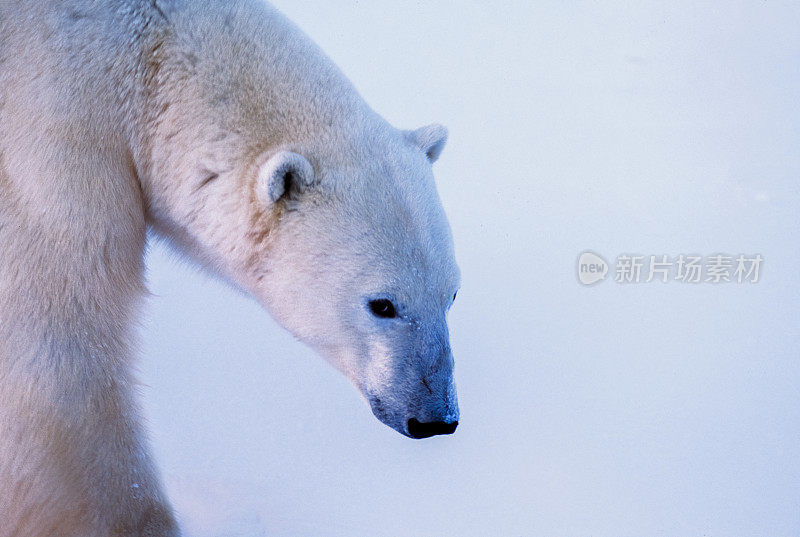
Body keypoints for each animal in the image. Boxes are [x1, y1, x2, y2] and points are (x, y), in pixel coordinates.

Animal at [0, 1, 460, 536]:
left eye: (451, 294)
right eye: (381, 304)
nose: (435, 418)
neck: (145, 59)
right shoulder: (50, 135)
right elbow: (56, 346)